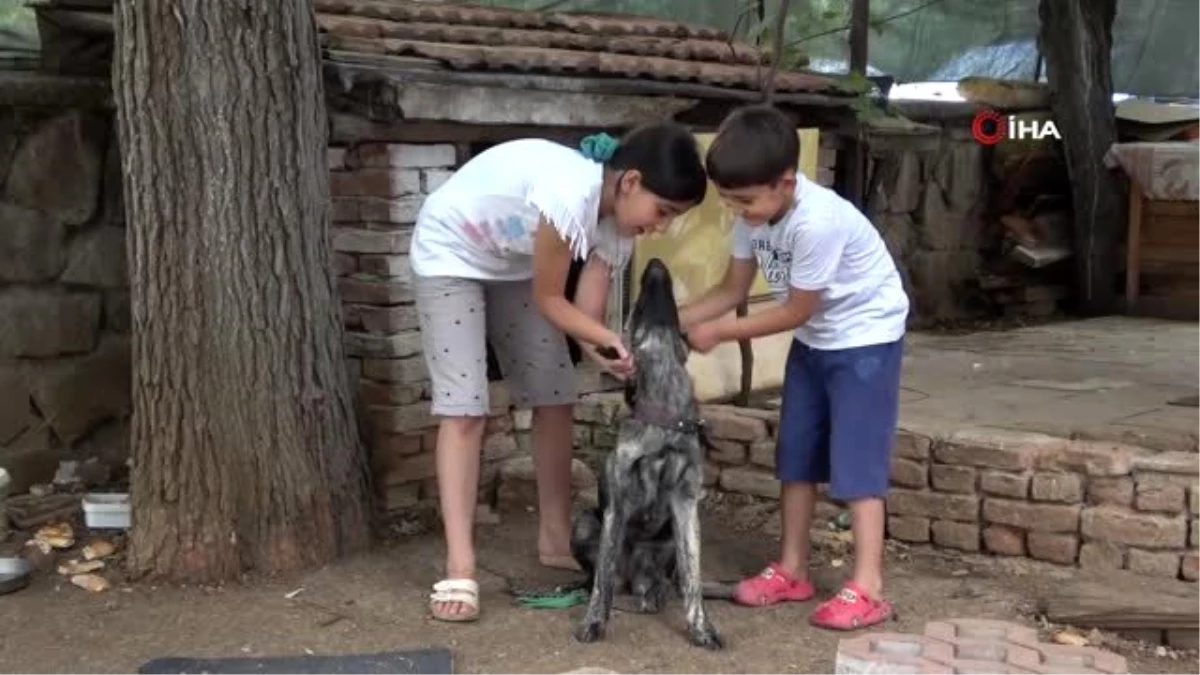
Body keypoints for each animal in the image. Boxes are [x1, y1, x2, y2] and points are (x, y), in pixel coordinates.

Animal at [571, 255, 720, 648]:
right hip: (584, 523)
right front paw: (594, 622)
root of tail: (634, 582)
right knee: (603, 577)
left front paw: (701, 628)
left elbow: (694, 578)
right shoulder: (617, 506)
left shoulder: (686, 505)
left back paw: (655, 593)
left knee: (667, 580)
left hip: (665, 541)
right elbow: (602, 577)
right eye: (638, 308)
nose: (653, 262)